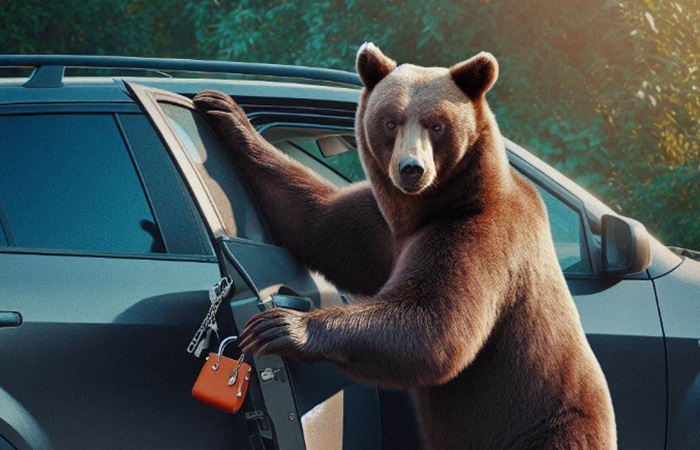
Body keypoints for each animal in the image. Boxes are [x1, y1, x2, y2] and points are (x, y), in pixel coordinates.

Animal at [193, 43, 616, 450]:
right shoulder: (385, 228)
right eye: (390, 121)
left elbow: (435, 325)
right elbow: (318, 221)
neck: (437, 206)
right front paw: (224, 110)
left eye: (437, 124)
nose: (411, 169)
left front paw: (280, 325)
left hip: (541, 424)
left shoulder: (480, 240)